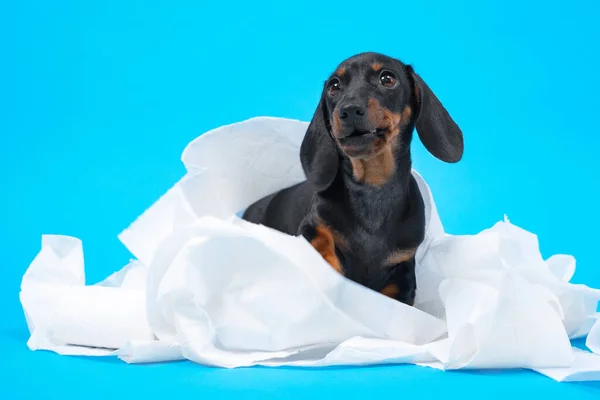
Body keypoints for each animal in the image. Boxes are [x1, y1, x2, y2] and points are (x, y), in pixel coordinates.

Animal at [241, 53, 462, 306]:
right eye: (334, 86)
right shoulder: (312, 226)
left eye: (387, 78)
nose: (349, 110)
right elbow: (322, 243)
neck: (372, 188)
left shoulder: (403, 271)